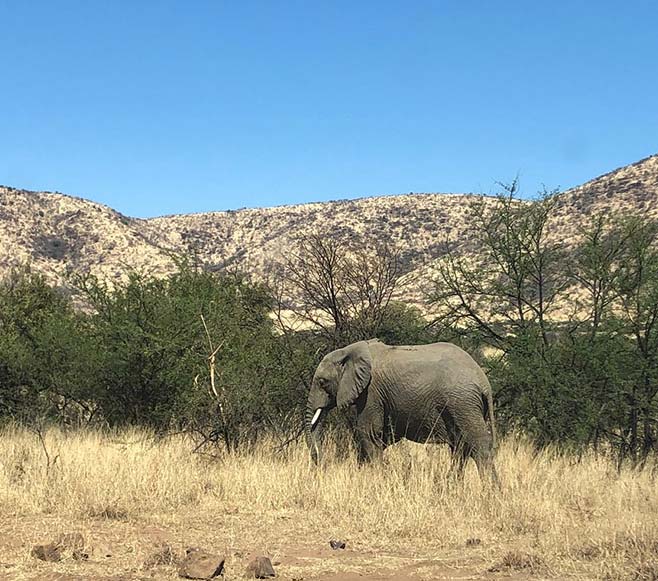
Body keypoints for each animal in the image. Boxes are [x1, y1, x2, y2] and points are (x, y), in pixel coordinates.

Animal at [304, 338, 494, 478]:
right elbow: (383, 437)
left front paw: (375, 479)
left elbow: (368, 433)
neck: (350, 350)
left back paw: (489, 491)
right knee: (460, 447)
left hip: (463, 403)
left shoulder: (371, 392)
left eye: (322, 382)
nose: (321, 465)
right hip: (461, 405)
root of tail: (484, 382)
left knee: (477, 446)